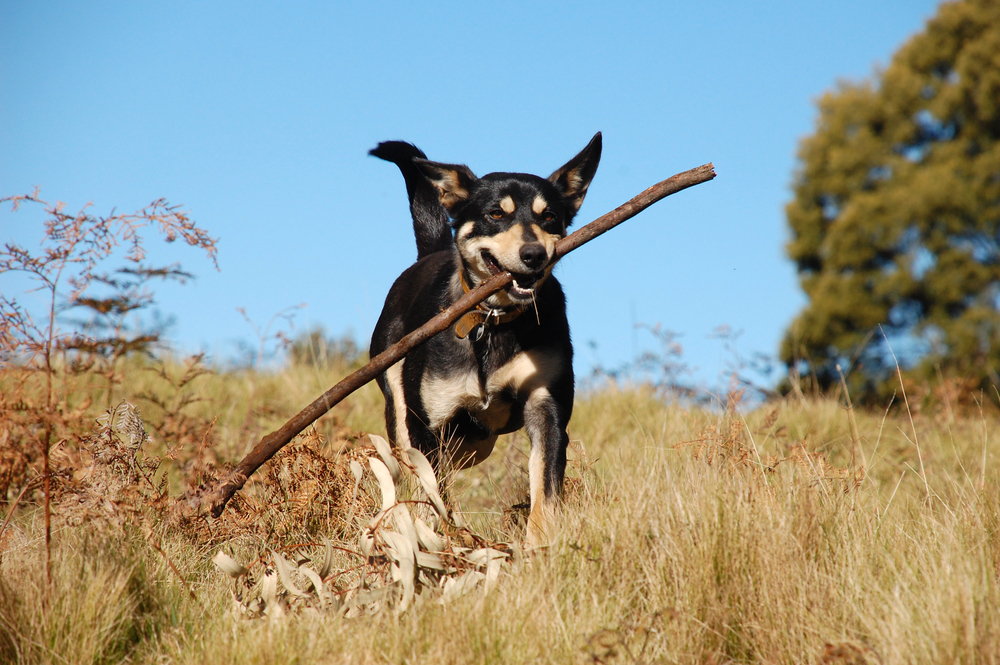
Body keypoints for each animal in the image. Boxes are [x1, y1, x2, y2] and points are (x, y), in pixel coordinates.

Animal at [370, 134, 596, 544]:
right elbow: (434, 496)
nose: (533, 254)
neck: (493, 322)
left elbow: (545, 488)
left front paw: (539, 545)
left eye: (549, 217)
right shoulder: (428, 428)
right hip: (400, 409)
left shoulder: (547, 409)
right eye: (495, 214)